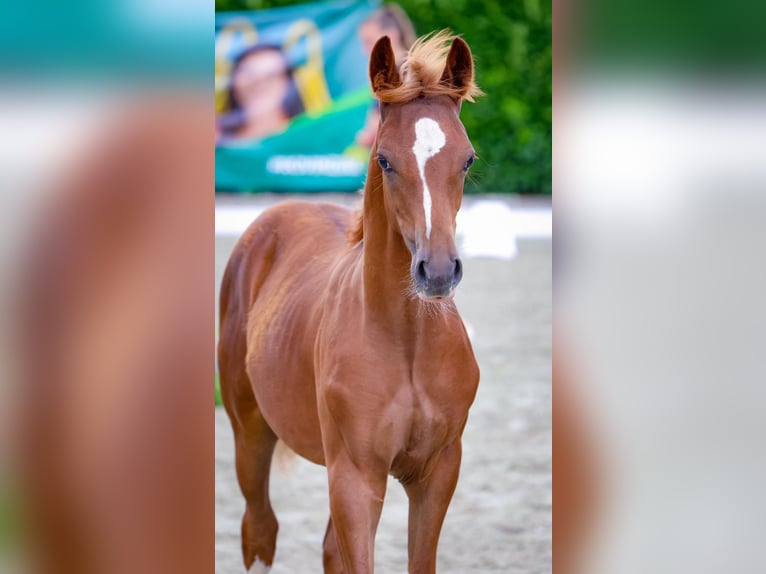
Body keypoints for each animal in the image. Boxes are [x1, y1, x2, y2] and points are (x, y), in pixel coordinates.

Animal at [218, 32, 480, 574]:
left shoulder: (438, 473)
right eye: (384, 160)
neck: (407, 342)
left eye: (467, 159)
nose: (437, 271)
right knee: (260, 529)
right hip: (250, 432)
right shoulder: (357, 479)